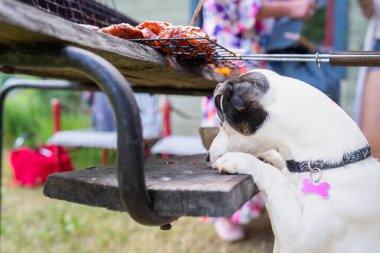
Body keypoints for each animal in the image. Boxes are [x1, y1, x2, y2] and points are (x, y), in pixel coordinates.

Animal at [209, 69, 380, 253]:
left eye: (221, 124)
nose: (207, 156)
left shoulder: (301, 233)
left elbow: (275, 177)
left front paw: (240, 159)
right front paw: (269, 155)